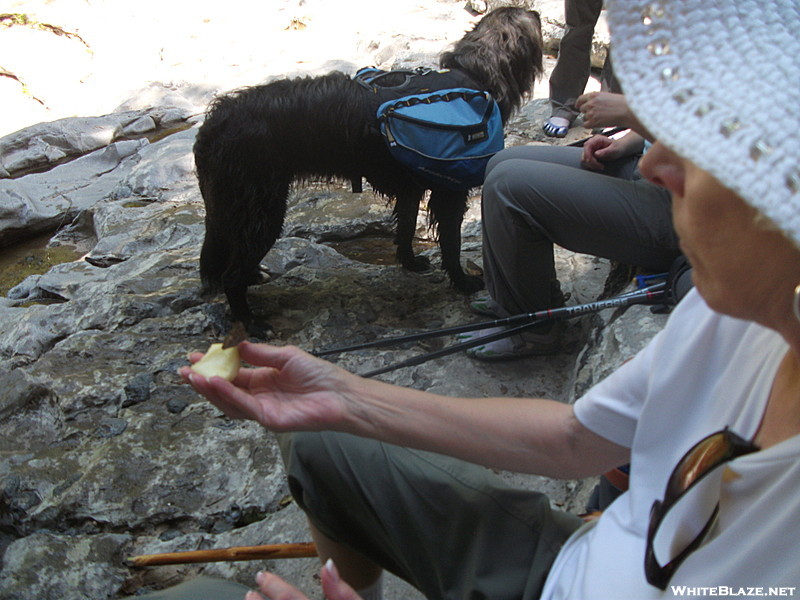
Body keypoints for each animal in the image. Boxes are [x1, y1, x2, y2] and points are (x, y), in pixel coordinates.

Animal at [194, 7, 544, 328]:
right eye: (530, 16)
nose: (539, 13)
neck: (471, 78)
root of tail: (215, 121)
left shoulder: (410, 188)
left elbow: (405, 228)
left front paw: (410, 263)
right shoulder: (450, 192)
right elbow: (451, 243)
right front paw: (463, 282)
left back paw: (255, 276)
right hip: (261, 207)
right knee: (232, 274)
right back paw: (250, 322)